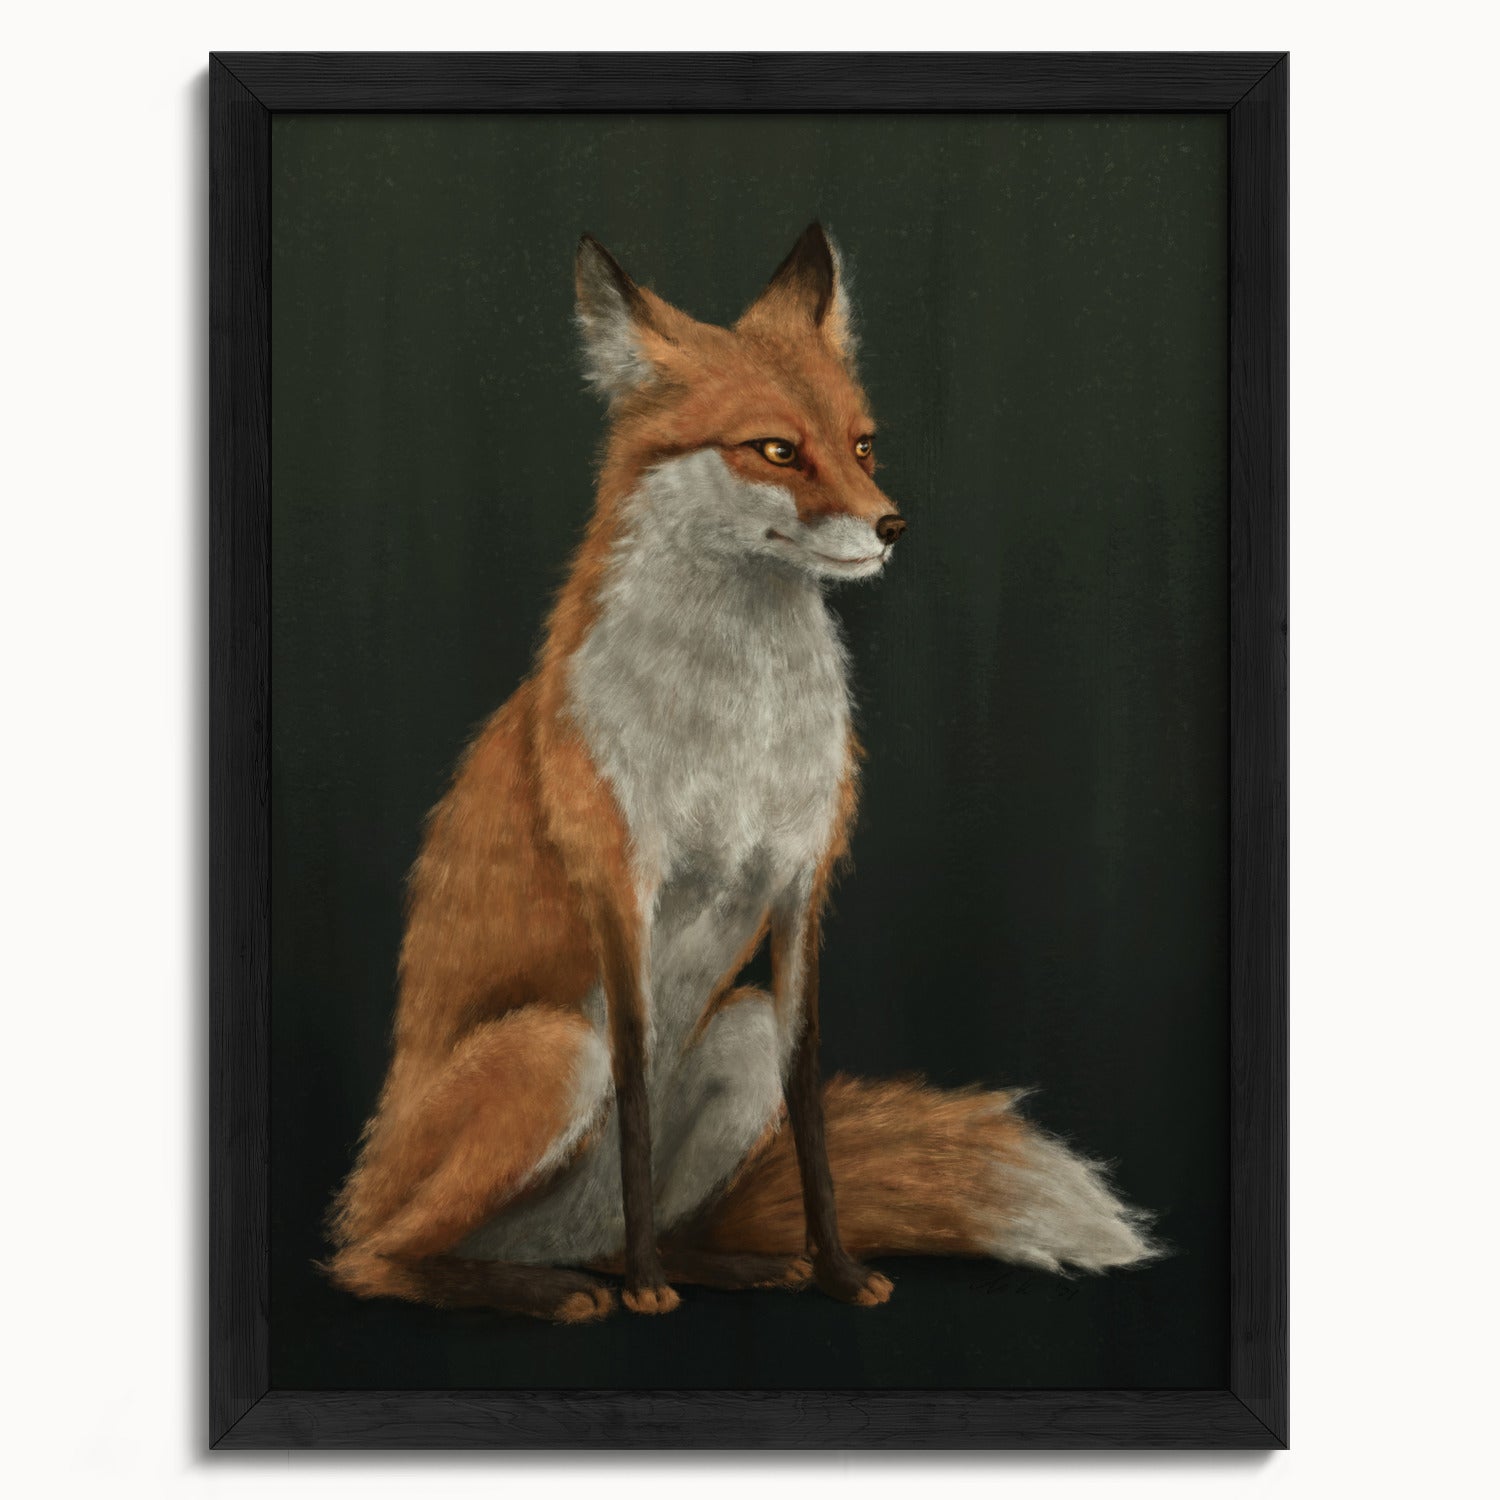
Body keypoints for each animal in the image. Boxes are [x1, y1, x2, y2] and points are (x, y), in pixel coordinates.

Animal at [324, 224, 1156, 1323]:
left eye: (862, 444)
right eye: (775, 450)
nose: (892, 526)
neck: (740, 730)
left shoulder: (802, 885)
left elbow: (809, 1111)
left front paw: (836, 1271)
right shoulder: (622, 886)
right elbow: (636, 1096)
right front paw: (649, 1291)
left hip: (738, 1032)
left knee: (620, 1227)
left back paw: (717, 1265)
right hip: (552, 1051)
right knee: (375, 1260)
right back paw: (561, 1287)